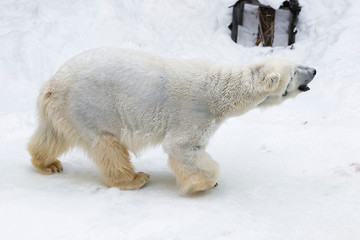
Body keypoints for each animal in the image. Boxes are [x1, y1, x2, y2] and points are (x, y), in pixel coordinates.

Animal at [27, 48, 316, 193]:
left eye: (298, 64)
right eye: (295, 71)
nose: (314, 69)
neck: (219, 90)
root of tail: (52, 83)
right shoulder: (194, 112)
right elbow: (182, 147)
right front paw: (204, 183)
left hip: (66, 110)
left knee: (53, 135)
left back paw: (48, 164)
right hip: (92, 107)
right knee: (107, 146)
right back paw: (134, 179)